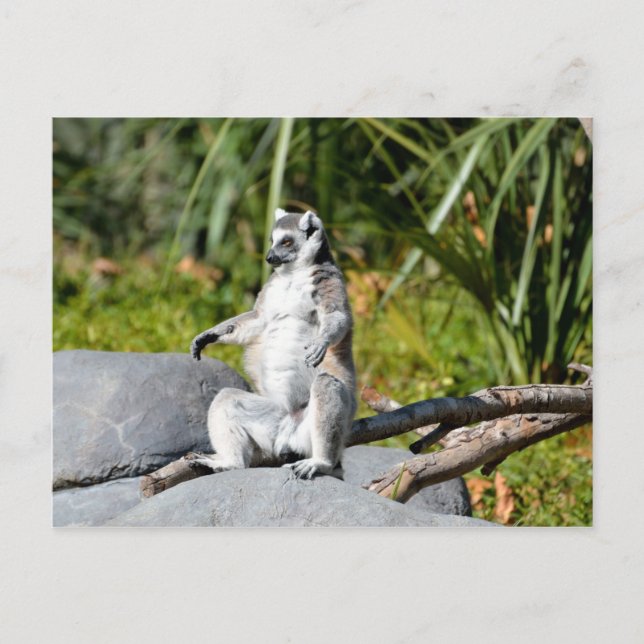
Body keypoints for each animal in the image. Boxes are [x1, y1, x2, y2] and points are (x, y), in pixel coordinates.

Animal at [188, 208, 356, 480]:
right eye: (272, 240)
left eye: (286, 242)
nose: (269, 257)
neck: (294, 274)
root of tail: (288, 429)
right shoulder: (271, 289)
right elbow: (257, 320)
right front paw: (210, 335)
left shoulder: (329, 282)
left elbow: (337, 317)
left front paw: (322, 341)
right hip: (271, 422)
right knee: (227, 398)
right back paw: (229, 463)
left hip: (311, 431)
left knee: (326, 385)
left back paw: (321, 462)